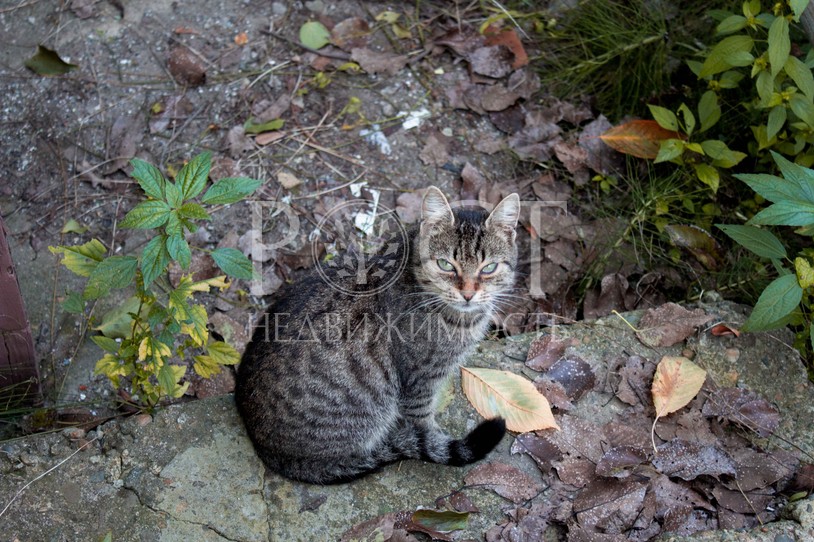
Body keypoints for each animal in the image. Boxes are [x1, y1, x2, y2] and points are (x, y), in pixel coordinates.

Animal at [234, 186, 524, 484]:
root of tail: (265, 449)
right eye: (445, 264)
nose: (468, 294)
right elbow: (423, 422)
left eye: (488, 268)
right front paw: (435, 437)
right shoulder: (419, 381)